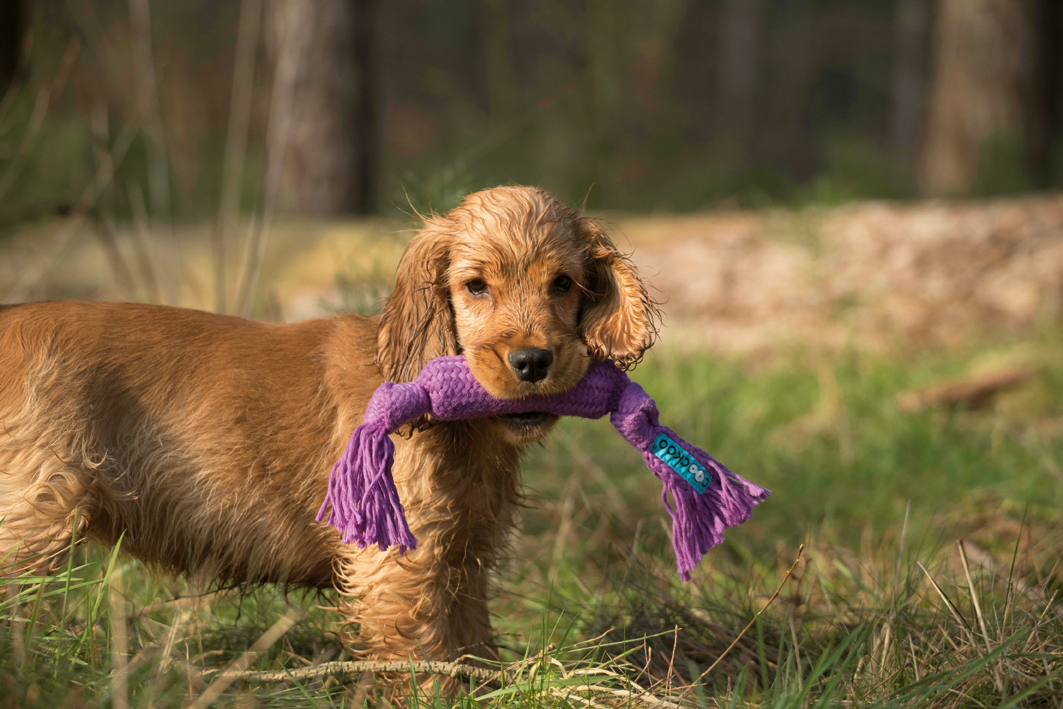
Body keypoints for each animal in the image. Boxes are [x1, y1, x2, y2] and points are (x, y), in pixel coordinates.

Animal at [0, 186, 659, 663]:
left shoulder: (462, 558)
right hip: (32, 516)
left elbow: (471, 649)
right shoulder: (397, 565)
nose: (532, 361)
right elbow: (426, 665)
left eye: (563, 284)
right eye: (475, 286)